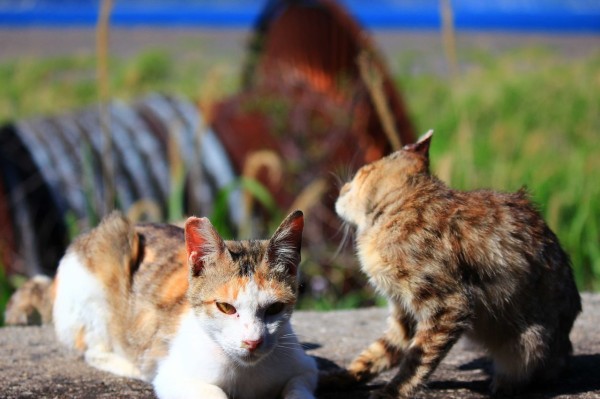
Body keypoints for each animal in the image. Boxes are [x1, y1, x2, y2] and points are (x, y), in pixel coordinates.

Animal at [7, 211, 316, 398]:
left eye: (274, 309)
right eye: (226, 308)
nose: (252, 342)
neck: (245, 373)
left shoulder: (305, 368)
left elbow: (298, 388)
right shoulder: (172, 377)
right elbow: (213, 392)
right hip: (107, 255)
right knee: (93, 350)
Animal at [336, 130, 580, 396]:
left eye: (360, 173)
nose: (342, 188)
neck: (400, 207)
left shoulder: (449, 304)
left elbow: (417, 359)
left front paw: (393, 391)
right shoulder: (404, 312)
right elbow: (381, 352)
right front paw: (338, 377)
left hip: (530, 343)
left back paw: (504, 384)